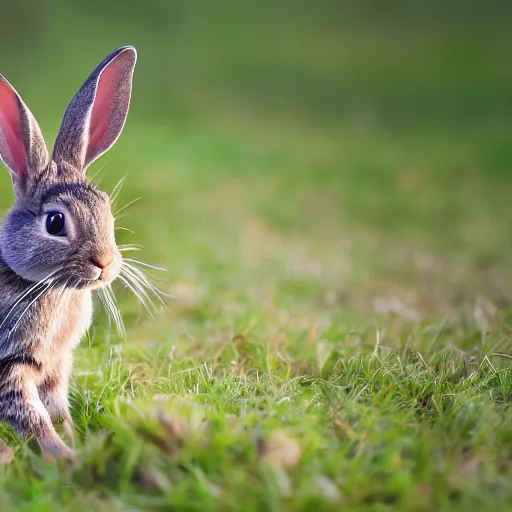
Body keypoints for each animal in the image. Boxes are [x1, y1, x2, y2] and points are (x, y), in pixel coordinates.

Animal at [0, 45, 136, 460]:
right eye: (56, 222)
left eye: (106, 207)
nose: (104, 263)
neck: (50, 288)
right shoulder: (11, 364)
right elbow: (33, 417)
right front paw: (64, 459)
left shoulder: (56, 365)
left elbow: (57, 410)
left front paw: (74, 443)